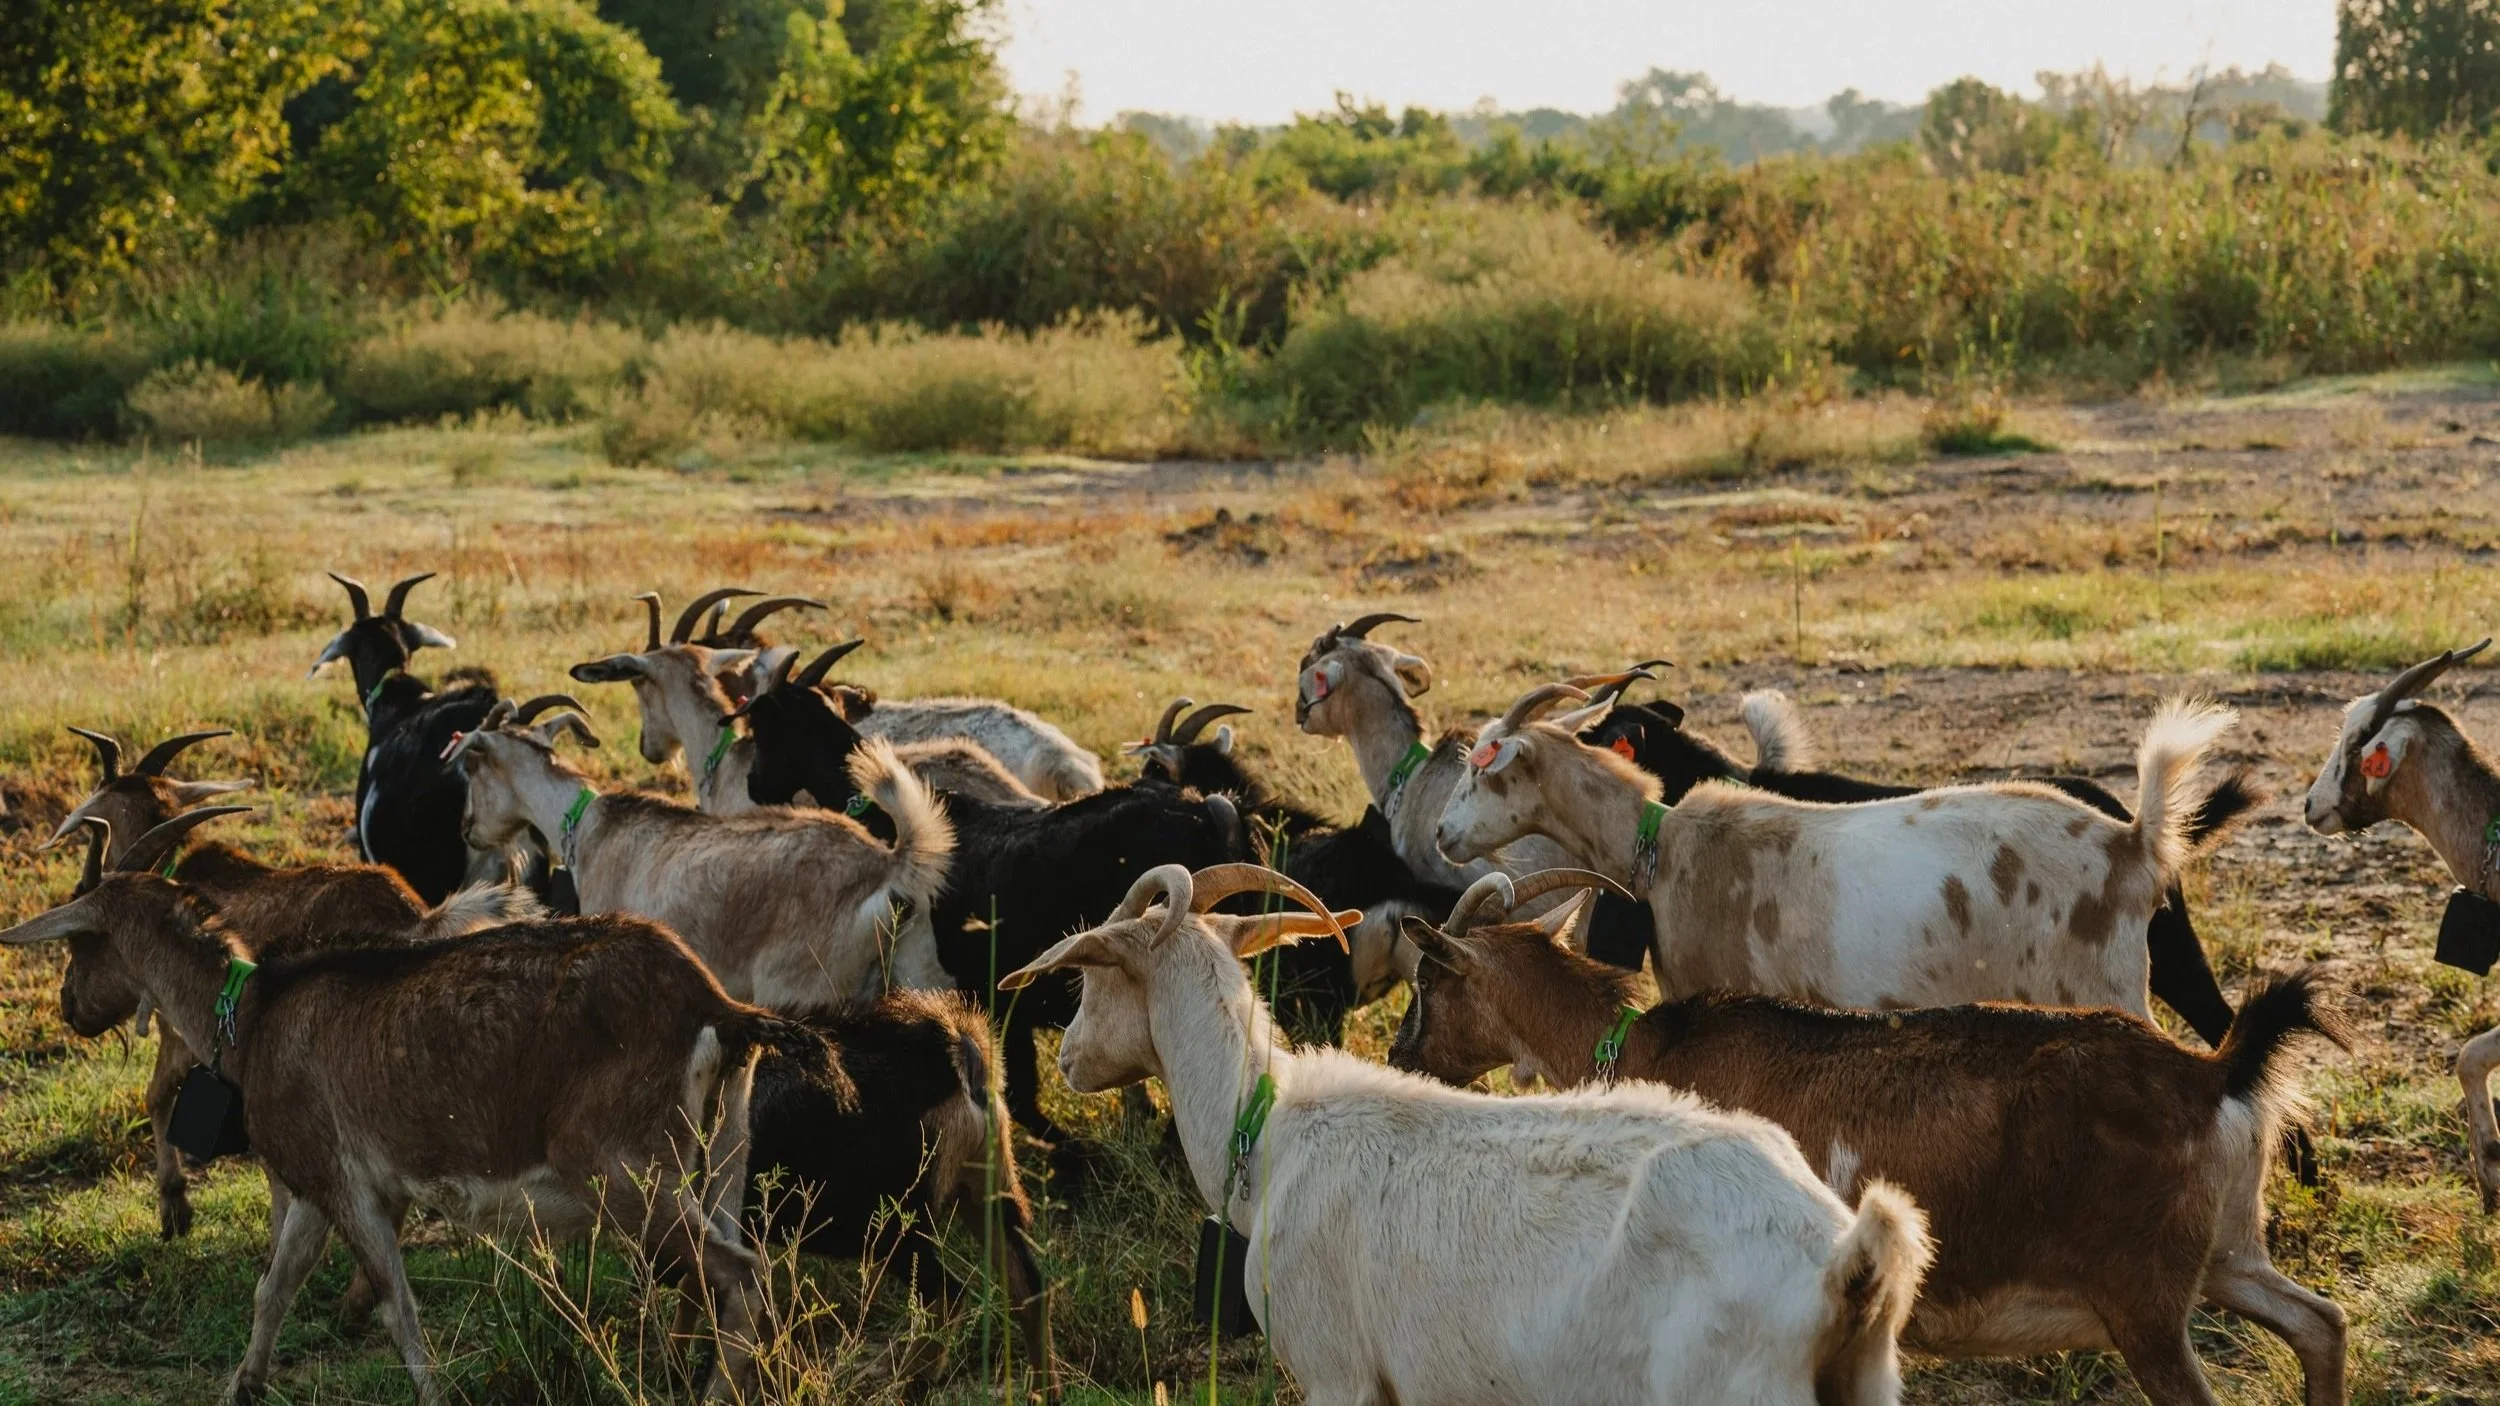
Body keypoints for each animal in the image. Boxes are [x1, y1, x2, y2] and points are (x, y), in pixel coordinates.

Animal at [7, 818, 788, 1405]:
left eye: (80, 937)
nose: (69, 1006)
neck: (255, 1015)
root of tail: (711, 1005)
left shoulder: (349, 1186)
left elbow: (397, 1306)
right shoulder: (315, 1190)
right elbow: (274, 1288)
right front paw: (243, 1386)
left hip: (625, 1174)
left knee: (739, 1272)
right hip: (720, 1151)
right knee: (726, 1267)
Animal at [451, 696, 956, 1005]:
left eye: (472, 767)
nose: (467, 829)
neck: (590, 826)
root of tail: (888, 867)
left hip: (804, 986)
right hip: (920, 969)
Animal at [1001, 862, 1932, 1405]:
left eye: (1088, 974)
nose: (1070, 1060)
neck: (1270, 1133)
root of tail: (1845, 1255)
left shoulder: (1339, 1373)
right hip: (1864, 1383)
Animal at [1390, 869, 2351, 1406]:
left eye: (1427, 982)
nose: (1400, 1056)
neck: (1639, 1049)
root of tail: (2213, 1074)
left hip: (2143, 1297)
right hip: (2227, 1255)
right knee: (2320, 1323)